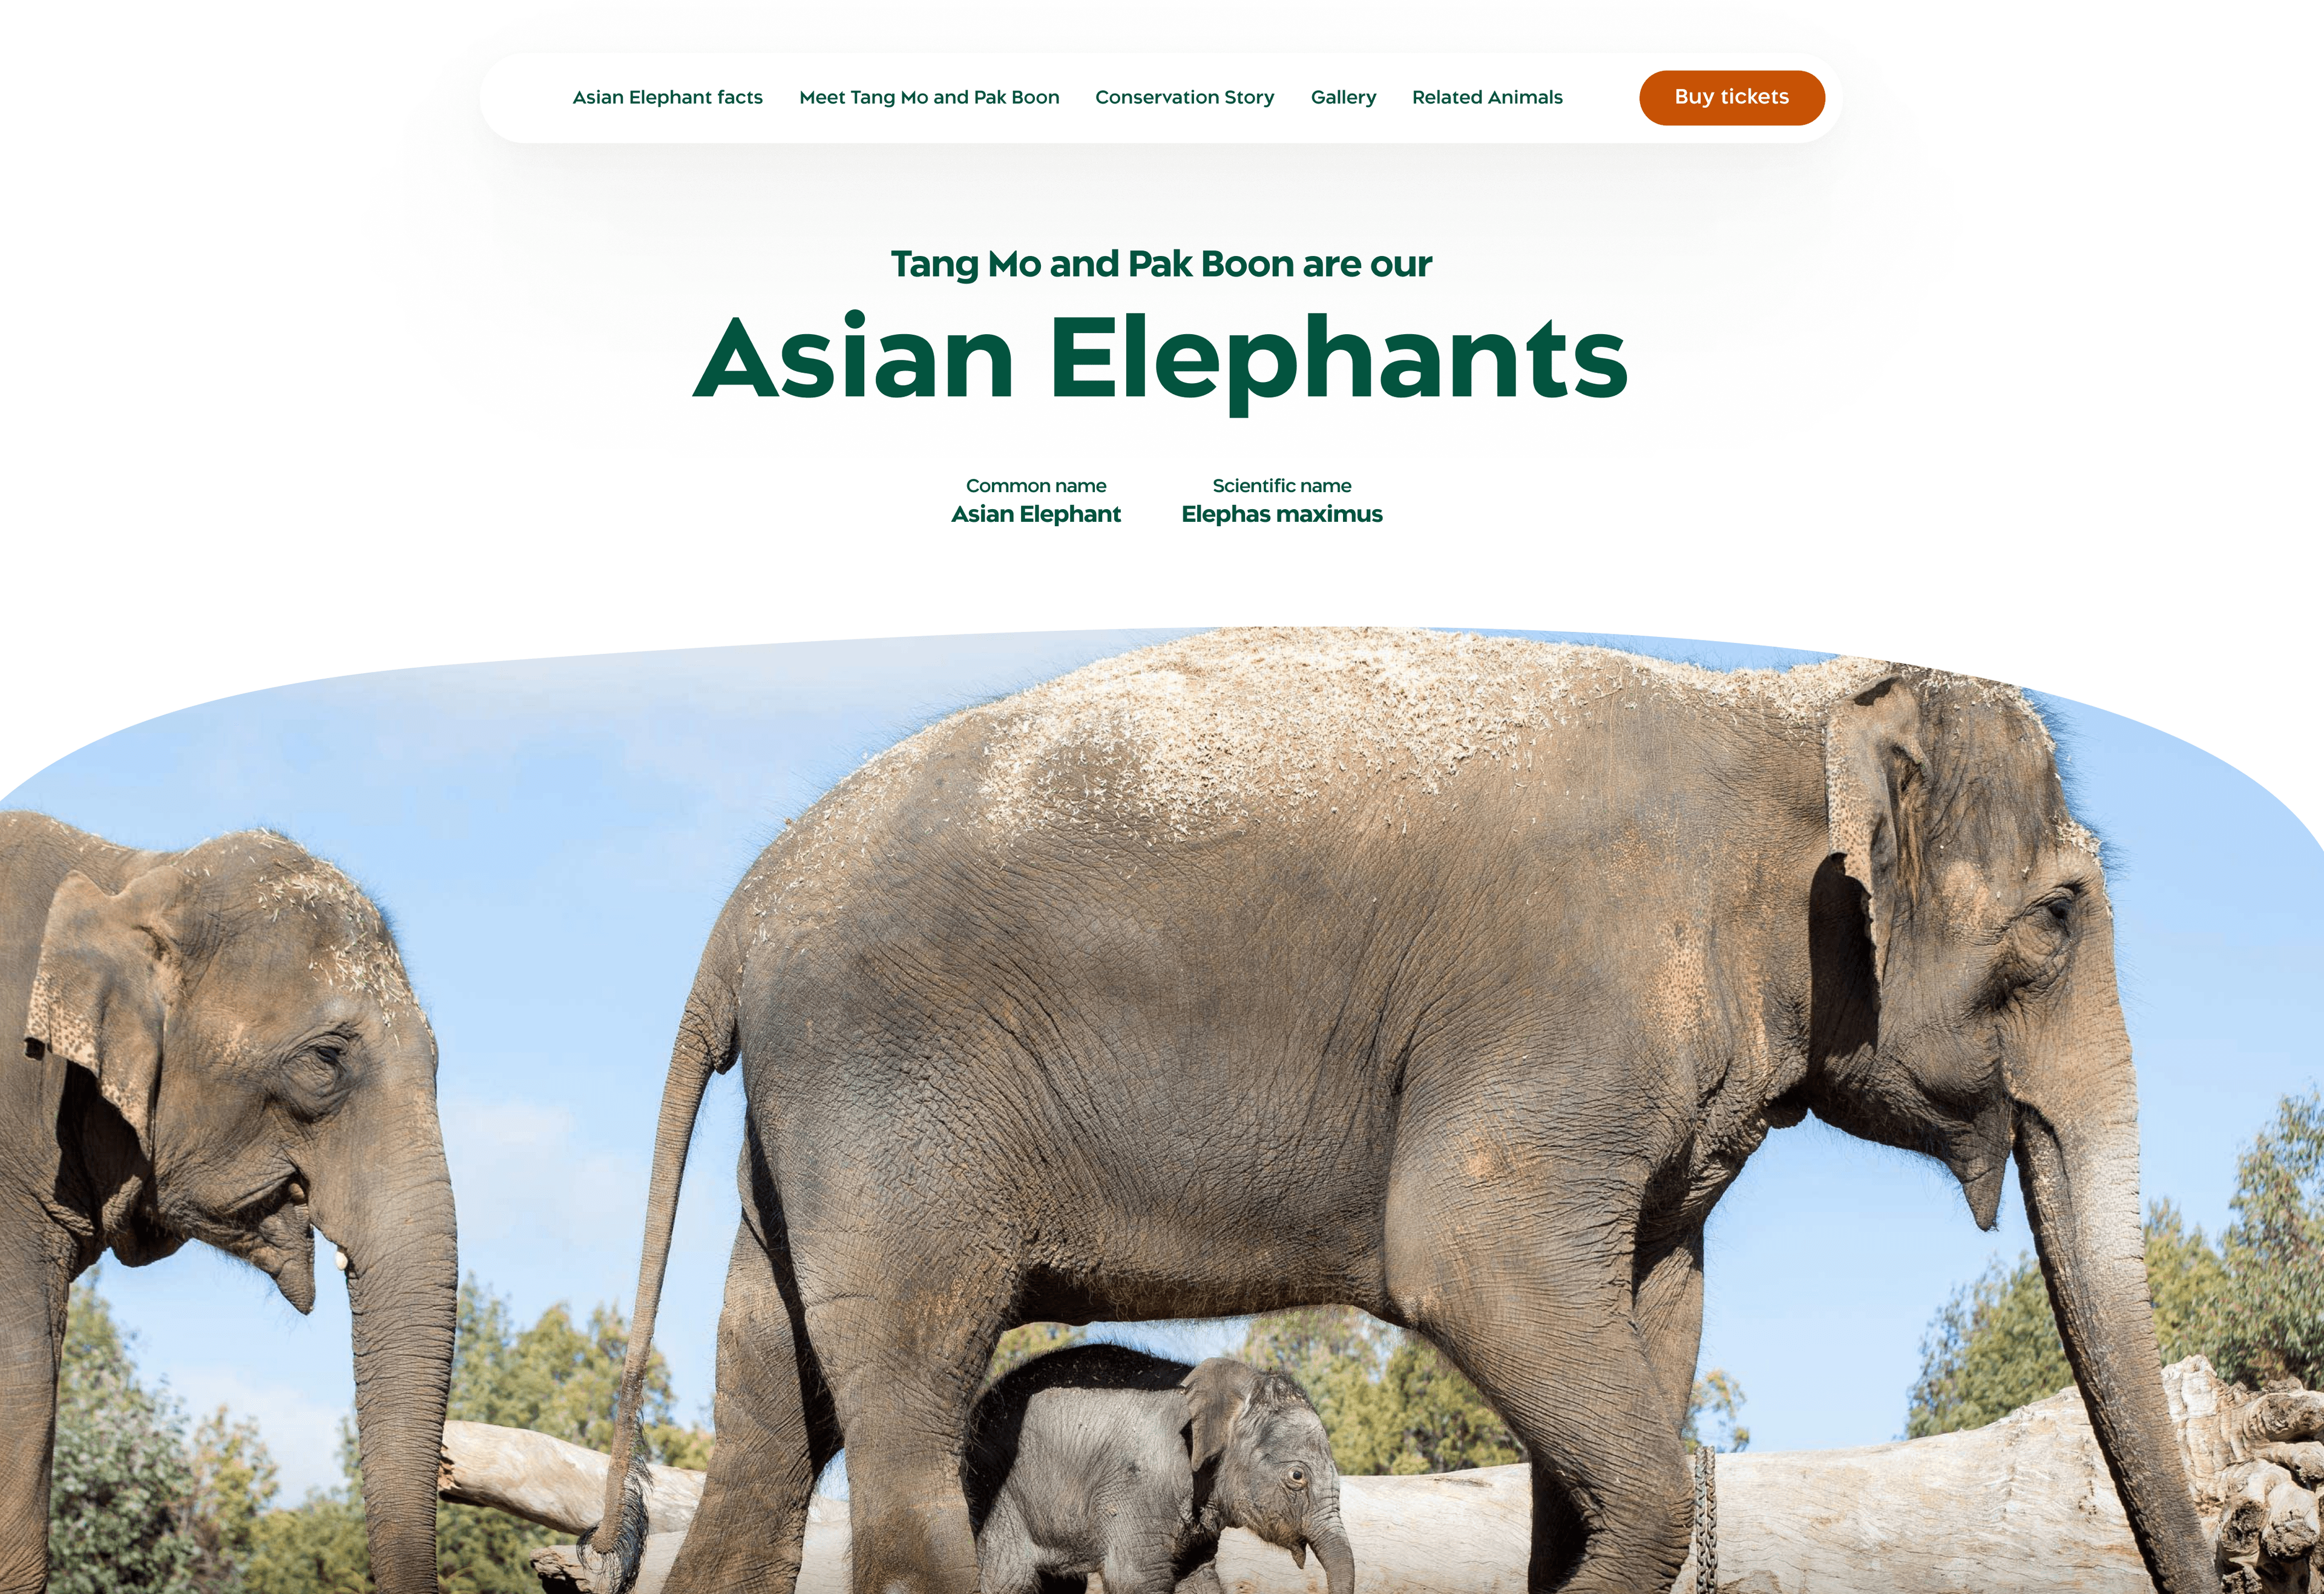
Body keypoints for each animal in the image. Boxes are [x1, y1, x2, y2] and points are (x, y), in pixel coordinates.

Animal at [962, 1345, 1352, 1594]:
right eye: (1297, 1476)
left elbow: (1198, 1579)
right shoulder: (1135, 1486)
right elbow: (1138, 1578)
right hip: (995, 1498)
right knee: (1007, 1580)